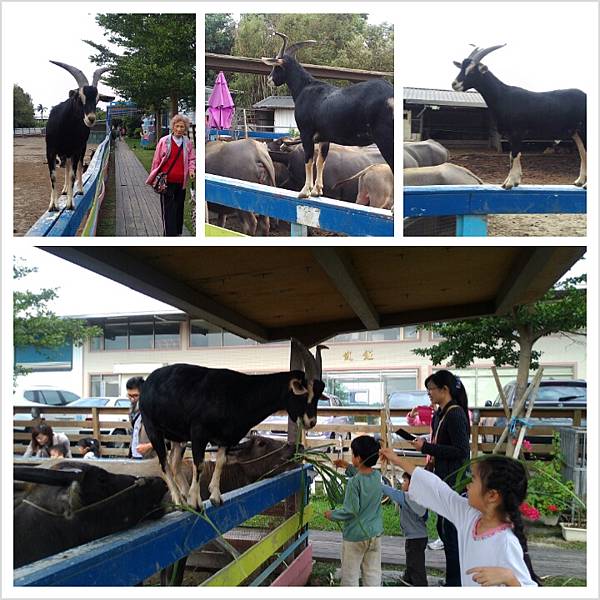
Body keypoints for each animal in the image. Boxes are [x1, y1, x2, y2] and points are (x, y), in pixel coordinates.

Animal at [45, 61, 113, 211]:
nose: (91, 119)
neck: (66, 129)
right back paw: (65, 190)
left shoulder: (76, 150)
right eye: (79, 98)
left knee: (78, 166)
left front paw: (70, 204)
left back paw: (80, 190)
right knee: (67, 166)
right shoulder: (50, 151)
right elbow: (53, 176)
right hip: (64, 153)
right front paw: (53, 205)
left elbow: (72, 175)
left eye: (98, 99)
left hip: (80, 149)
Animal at [139, 340, 328, 508]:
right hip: (152, 428)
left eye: (319, 395)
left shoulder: (227, 437)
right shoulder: (199, 432)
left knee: (174, 463)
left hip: (178, 436)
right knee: (164, 463)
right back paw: (180, 499)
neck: (239, 394)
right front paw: (196, 501)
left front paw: (215, 496)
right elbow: (199, 464)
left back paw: (185, 495)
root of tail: (148, 382)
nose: (311, 422)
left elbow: (221, 461)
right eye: (305, 392)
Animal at [262, 33, 394, 197]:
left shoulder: (306, 133)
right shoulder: (324, 137)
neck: (305, 87)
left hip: (385, 138)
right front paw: (317, 190)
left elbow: (309, 160)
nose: (269, 80)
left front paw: (304, 191)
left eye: (277, 66)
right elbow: (321, 161)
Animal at [450, 45, 584, 189]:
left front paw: (509, 183)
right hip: (576, 132)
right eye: (461, 68)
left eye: (472, 70)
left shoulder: (517, 132)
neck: (503, 95)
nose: (454, 84)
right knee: (583, 152)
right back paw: (579, 181)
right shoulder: (511, 136)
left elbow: (514, 154)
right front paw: (511, 181)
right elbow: (512, 155)